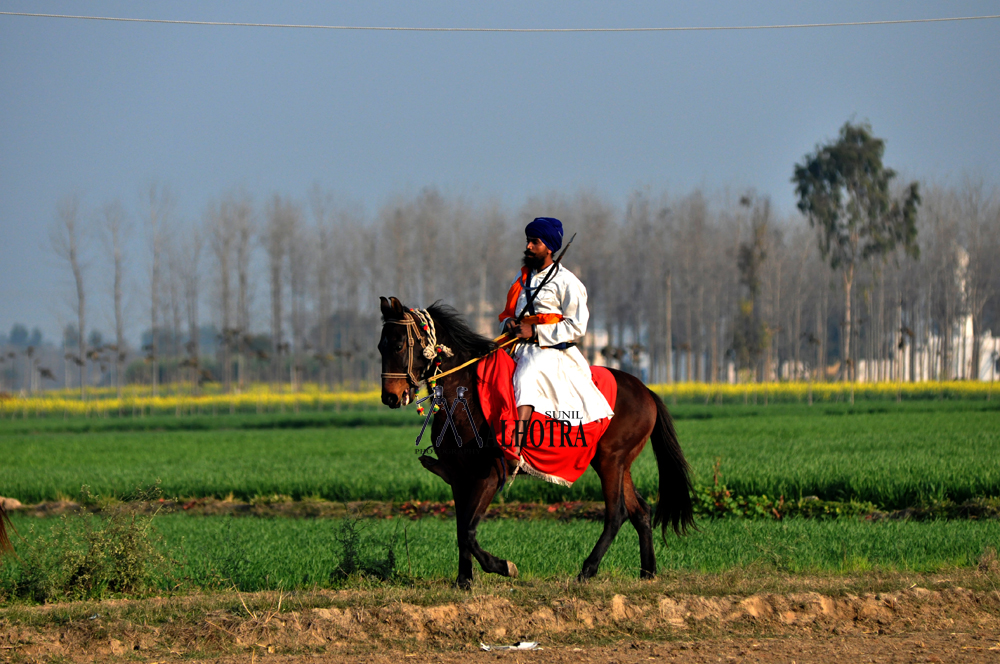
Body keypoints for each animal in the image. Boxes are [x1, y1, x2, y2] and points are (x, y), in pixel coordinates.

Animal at [378, 298, 692, 588]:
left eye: (398, 346)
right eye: (381, 346)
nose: (390, 397)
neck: (465, 397)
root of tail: (646, 390)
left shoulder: (489, 475)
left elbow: (468, 530)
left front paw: (503, 566)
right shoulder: (459, 476)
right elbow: (460, 529)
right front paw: (464, 579)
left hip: (610, 460)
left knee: (617, 513)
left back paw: (588, 569)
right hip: (618, 462)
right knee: (641, 511)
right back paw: (648, 571)